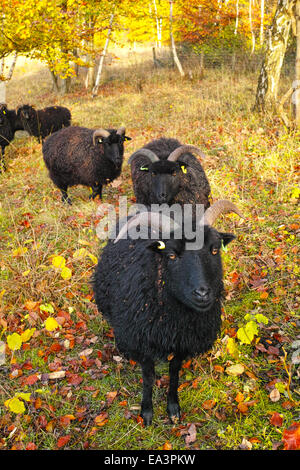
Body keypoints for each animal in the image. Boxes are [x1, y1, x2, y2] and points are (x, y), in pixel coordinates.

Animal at [93, 200, 244, 424]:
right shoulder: (142, 341)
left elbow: (174, 372)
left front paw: (173, 407)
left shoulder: (183, 342)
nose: (202, 293)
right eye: (172, 255)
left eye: (215, 250)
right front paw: (147, 411)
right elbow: (148, 376)